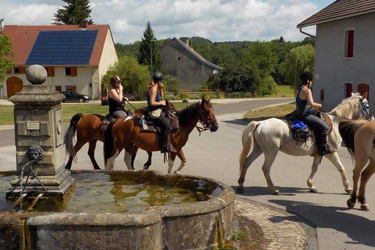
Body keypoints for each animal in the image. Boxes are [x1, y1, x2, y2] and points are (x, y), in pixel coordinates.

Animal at [239, 93, 372, 194]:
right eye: (367, 106)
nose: (372, 119)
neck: (335, 123)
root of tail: (259, 123)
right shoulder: (331, 152)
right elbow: (341, 168)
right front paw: (348, 188)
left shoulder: (319, 153)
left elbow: (314, 168)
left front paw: (311, 185)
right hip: (271, 152)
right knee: (266, 168)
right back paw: (274, 189)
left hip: (258, 149)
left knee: (247, 162)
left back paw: (241, 185)